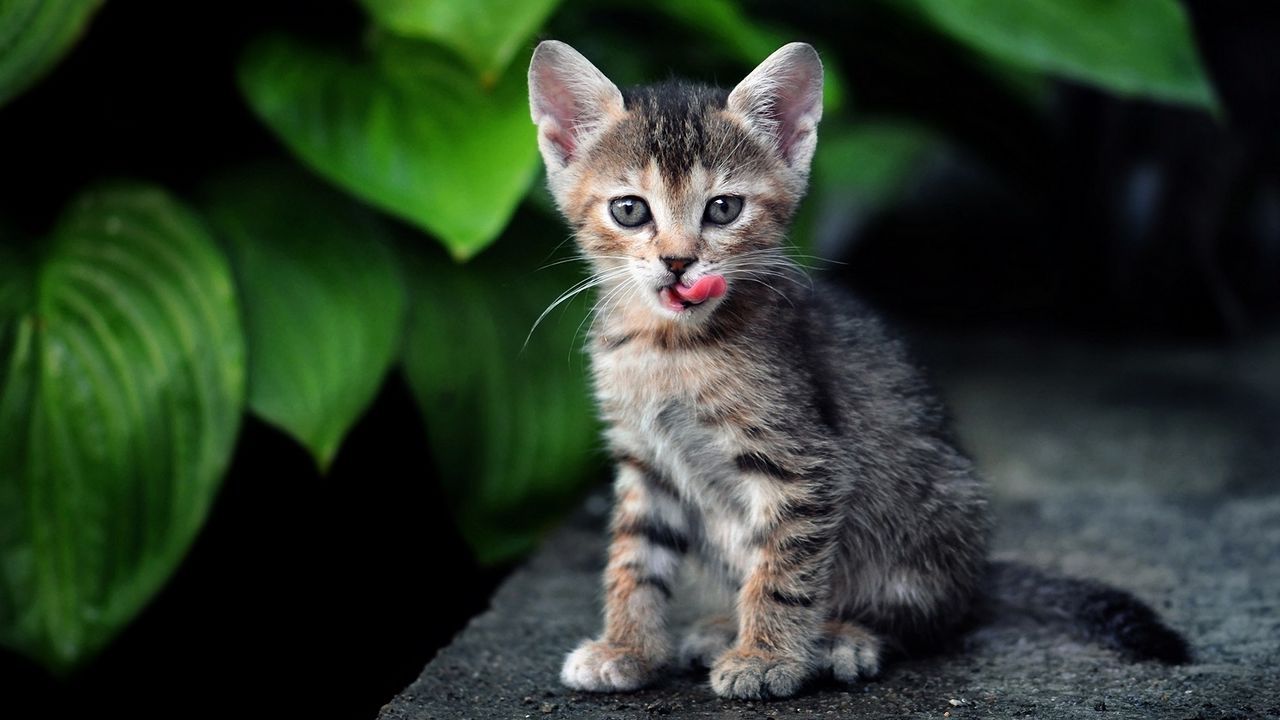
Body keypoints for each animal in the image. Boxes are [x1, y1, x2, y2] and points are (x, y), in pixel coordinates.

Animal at [524, 37, 1182, 696]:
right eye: (630, 210)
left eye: (723, 208)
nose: (679, 263)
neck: (666, 348)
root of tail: (974, 581)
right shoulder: (645, 462)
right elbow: (635, 560)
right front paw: (628, 647)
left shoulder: (806, 463)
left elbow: (784, 570)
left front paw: (766, 657)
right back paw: (723, 627)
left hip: (936, 510)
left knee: (925, 619)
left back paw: (842, 637)